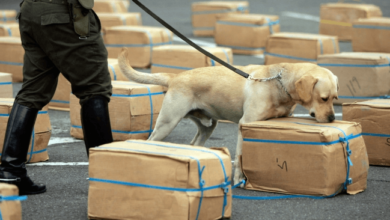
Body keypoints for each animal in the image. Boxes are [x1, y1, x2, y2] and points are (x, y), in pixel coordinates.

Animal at [116, 49, 338, 185]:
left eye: (335, 98)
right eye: (324, 98)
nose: (331, 119)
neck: (278, 82)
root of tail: (175, 77)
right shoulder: (245, 124)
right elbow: (239, 157)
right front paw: (239, 179)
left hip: (207, 126)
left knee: (194, 144)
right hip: (167, 123)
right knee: (151, 141)